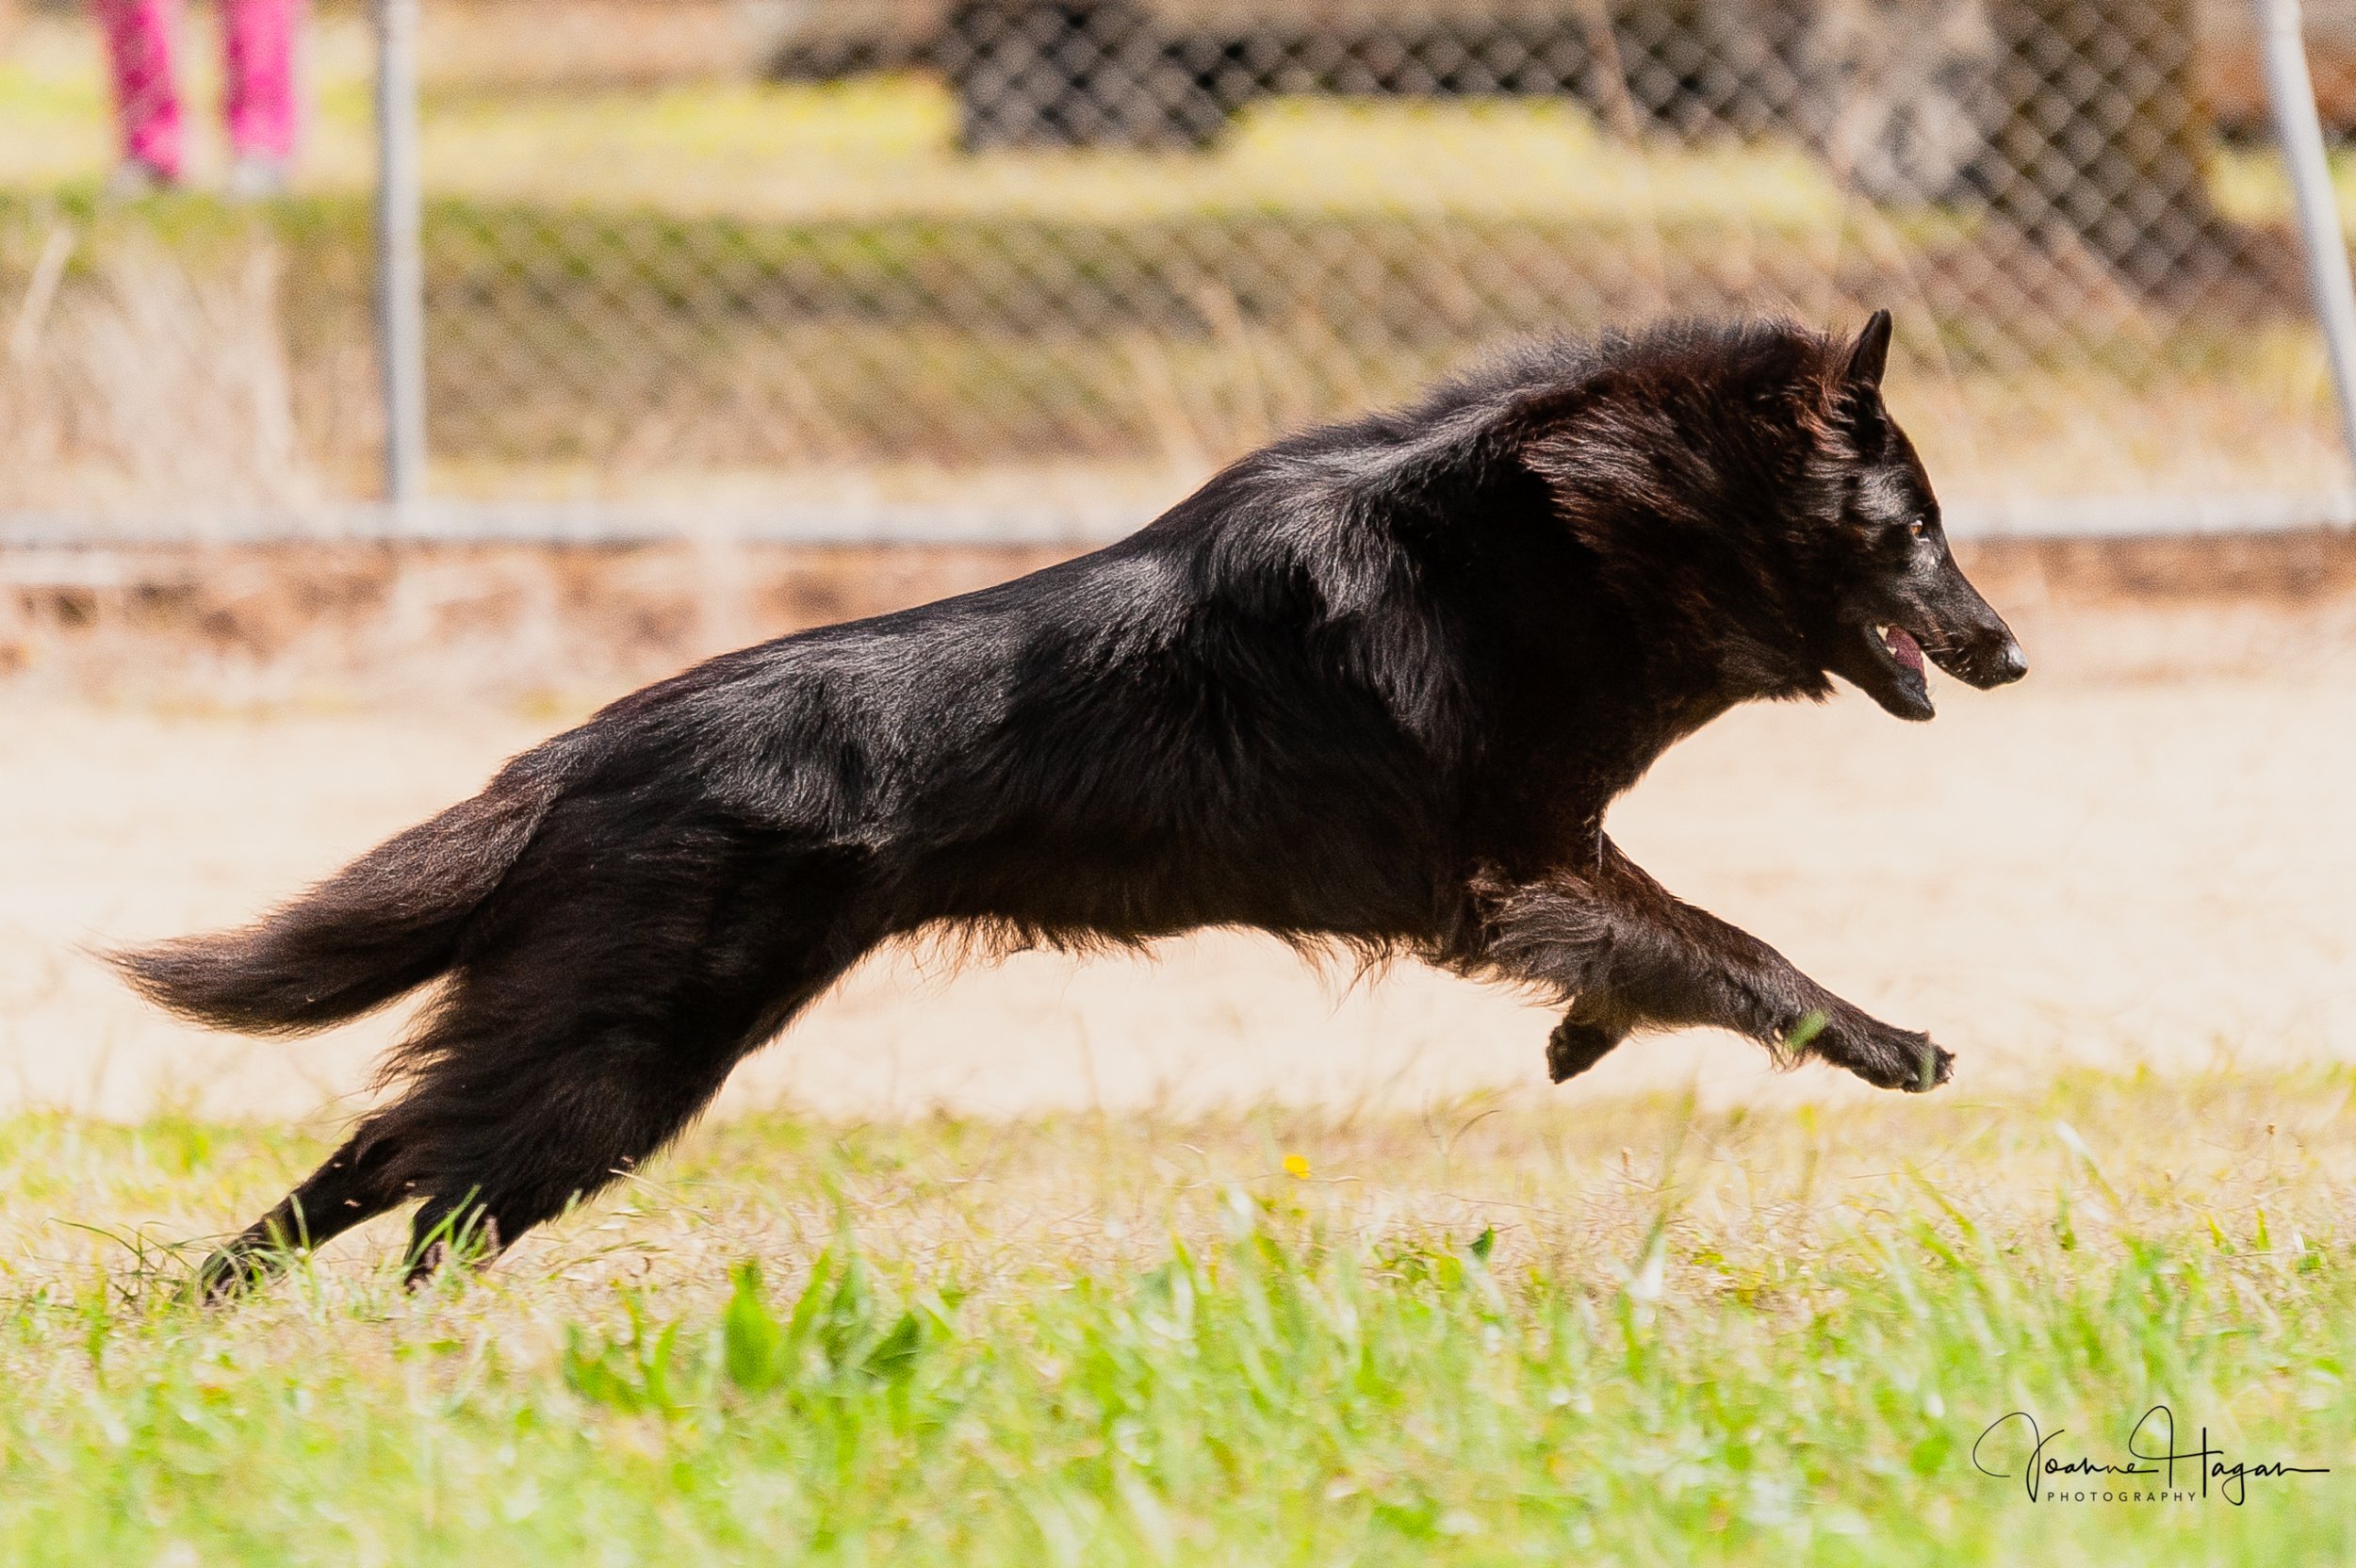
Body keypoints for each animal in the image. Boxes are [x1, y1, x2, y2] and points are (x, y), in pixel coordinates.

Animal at [114, 305, 2026, 1281]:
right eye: (1919, 527)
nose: (2011, 650)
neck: (1565, 524)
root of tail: (589, 747)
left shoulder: (1536, 865)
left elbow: (1669, 955)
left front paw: (1583, 1039)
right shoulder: (1510, 858)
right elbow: (1737, 951)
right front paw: (1892, 1045)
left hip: (576, 1039)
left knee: (376, 1156)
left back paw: (196, 1323)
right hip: (616, 1064)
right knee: (428, 1184)